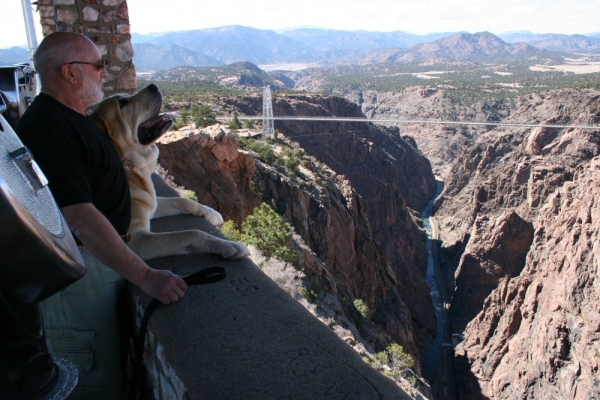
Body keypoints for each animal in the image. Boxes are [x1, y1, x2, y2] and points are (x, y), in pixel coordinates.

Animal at [90, 83, 250, 260]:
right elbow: (192, 234)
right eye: (122, 103)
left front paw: (211, 213)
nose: (153, 86)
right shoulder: (134, 240)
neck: (133, 167)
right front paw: (229, 245)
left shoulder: (153, 204)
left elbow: (183, 200)